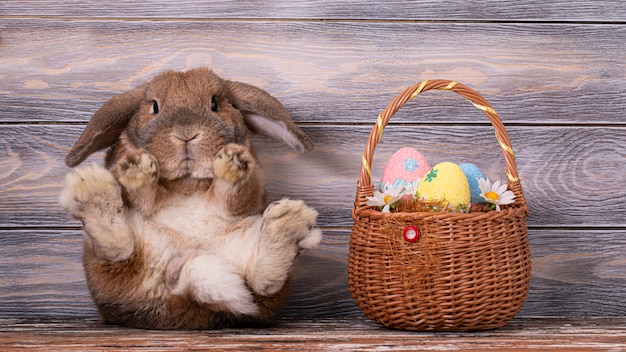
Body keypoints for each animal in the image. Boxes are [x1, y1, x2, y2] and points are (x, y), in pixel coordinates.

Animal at [59, 67, 322, 328]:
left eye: (214, 103)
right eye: (154, 107)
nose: (186, 134)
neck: (188, 183)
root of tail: (179, 296)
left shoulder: (252, 192)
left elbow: (232, 197)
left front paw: (232, 163)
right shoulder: (131, 187)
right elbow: (142, 196)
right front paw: (137, 167)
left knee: (263, 284)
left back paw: (288, 225)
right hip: (106, 262)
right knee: (118, 251)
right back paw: (93, 192)